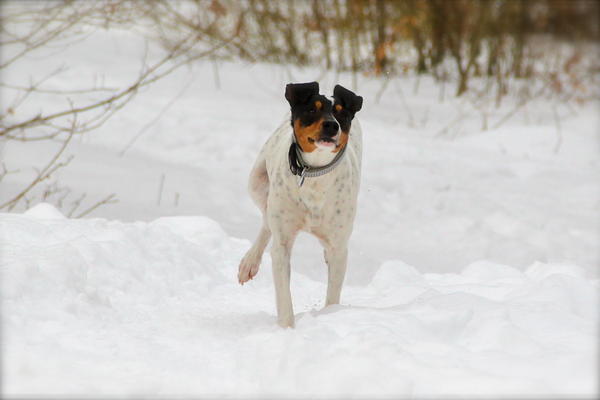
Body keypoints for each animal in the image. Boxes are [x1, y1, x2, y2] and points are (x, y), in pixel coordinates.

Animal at [238, 81, 360, 328]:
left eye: (341, 114)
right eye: (312, 109)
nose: (331, 125)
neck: (314, 173)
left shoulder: (339, 246)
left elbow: (333, 293)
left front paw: (330, 315)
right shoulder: (282, 245)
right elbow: (284, 295)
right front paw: (287, 328)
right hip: (256, 182)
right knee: (266, 221)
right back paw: (249, 262)